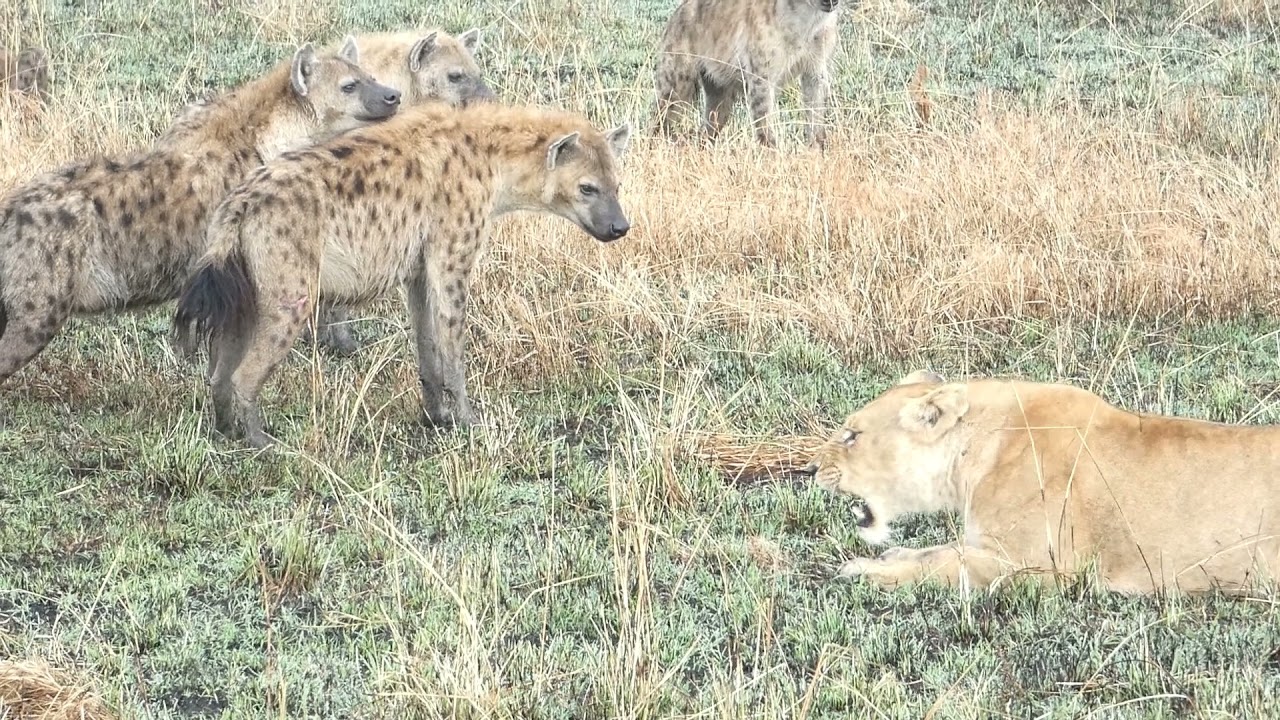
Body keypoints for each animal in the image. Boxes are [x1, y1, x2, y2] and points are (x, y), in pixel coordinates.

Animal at [803, 370, 1280, 595]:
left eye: (851, 435)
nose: (808, 470)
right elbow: (935, 550)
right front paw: (888, 557)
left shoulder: (1038, 567)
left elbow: (940, 565)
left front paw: (861, 570)